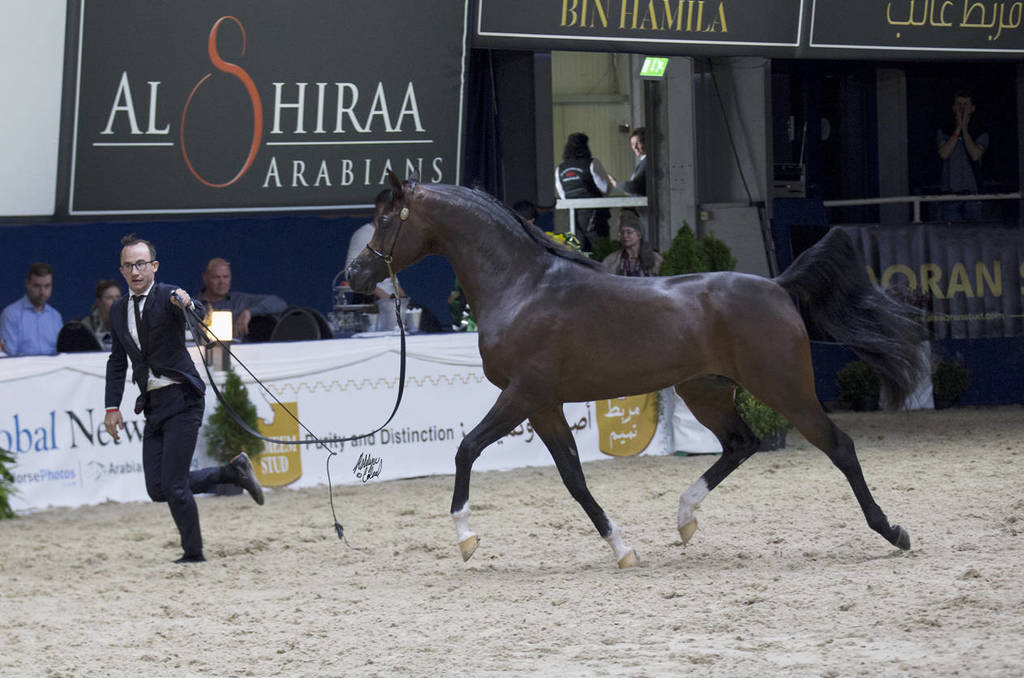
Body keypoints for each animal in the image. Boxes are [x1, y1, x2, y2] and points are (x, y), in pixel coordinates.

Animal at [346, 171, 926, 569]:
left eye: (384, 220)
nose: (353, 276)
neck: (523, 286)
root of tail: (779, 286)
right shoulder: (545, 404)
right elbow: (574, 478)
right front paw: (622, 548)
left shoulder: (522, 394)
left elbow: (466, 449)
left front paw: (466, 538)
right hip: (705, 391)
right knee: (741, 443)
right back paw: (685, 519)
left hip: (786, 389)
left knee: (839, 447)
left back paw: (893, 531)